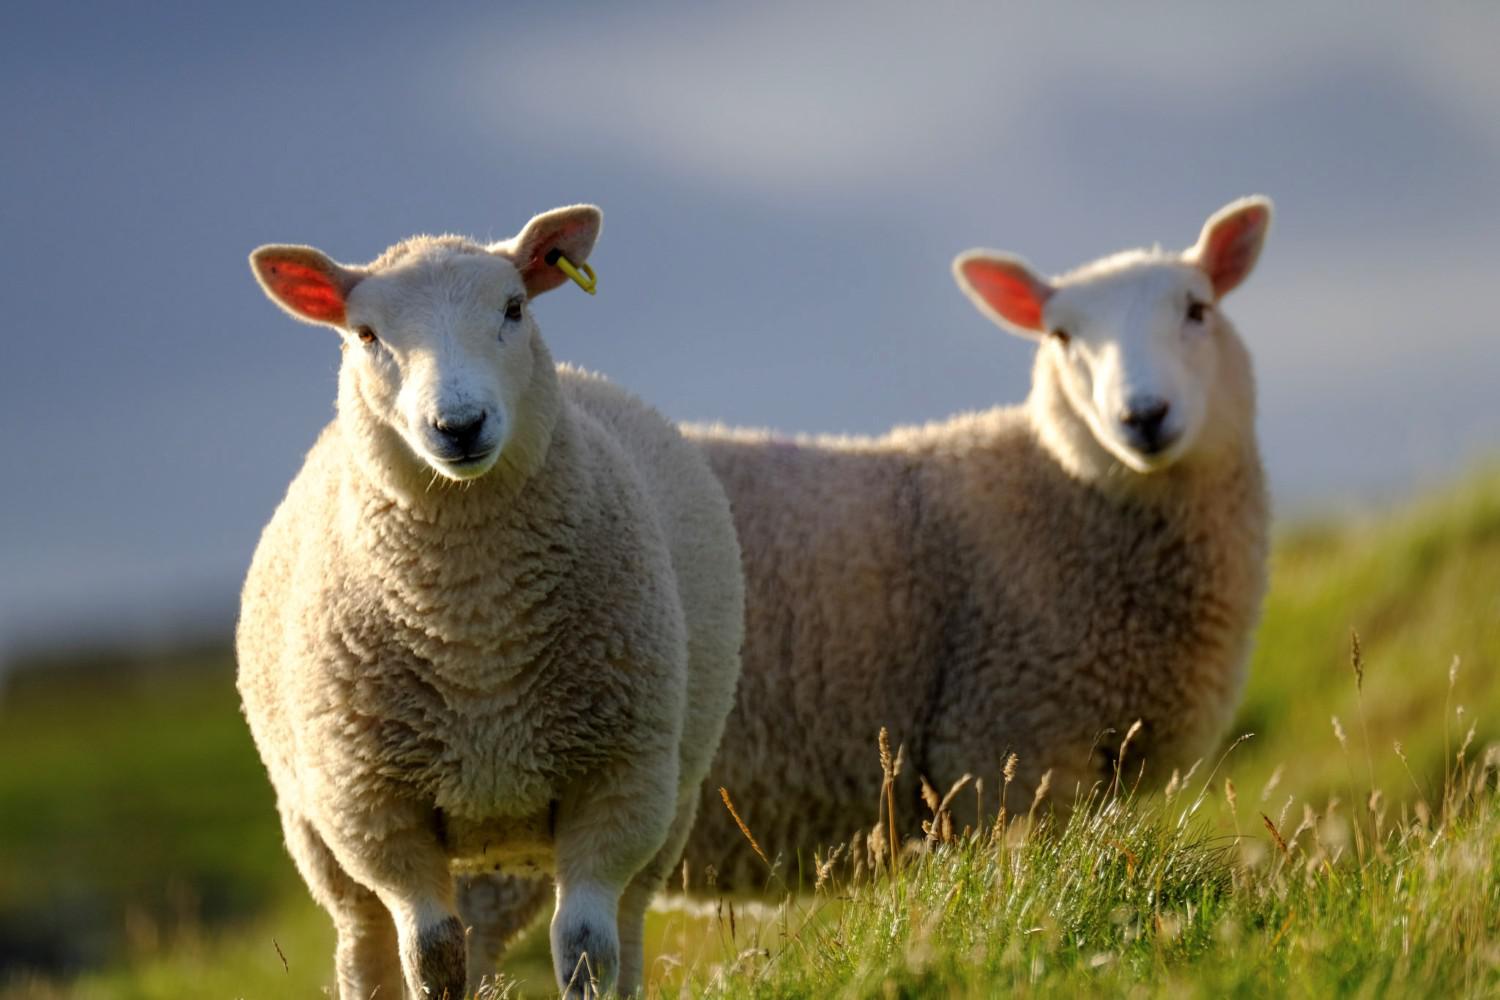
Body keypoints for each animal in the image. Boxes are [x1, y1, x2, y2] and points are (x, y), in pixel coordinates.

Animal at [235, 205, 743, 999]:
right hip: (319, 826)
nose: (460, 424)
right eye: (365, 334)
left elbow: (588, 947)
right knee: (364, 942)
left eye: (513, 308)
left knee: (629, 922)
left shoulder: (618, 780)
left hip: (671, 799)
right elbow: (434, 954)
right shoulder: (375, 806)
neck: (475, 623)